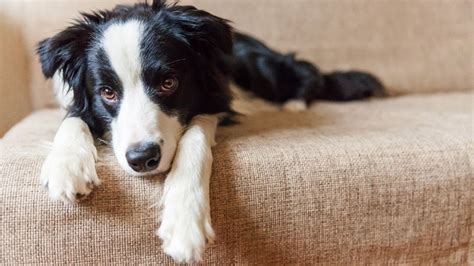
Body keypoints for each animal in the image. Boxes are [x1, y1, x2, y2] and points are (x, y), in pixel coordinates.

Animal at [37, 0, 386, 262]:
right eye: (107, 93)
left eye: (169, 82)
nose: (142, 158)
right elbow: (72, 119)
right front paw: (67, 166)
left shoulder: (214, 103)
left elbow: (194, 138)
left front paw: (184, 221)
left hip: (262, 66)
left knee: (307, 74)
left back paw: (293, 104)